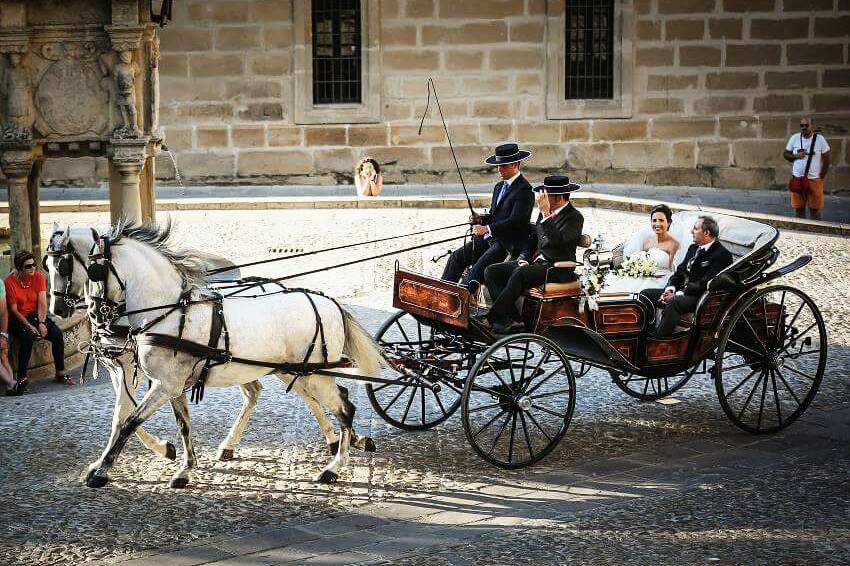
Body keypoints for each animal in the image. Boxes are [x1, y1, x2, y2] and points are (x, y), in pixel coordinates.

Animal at [79, 222, 384, 488]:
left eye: (94, 272)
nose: (94, 314)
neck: (171, 312)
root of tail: (332, 303)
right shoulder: (172, 386)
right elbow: (183, 426)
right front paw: (186, 469)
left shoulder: (164, 385)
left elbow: (128, 423)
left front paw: (102, 471)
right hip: (296, 371)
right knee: (335, 398)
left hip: (313, 375)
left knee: (345, 408)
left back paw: (335, 466)